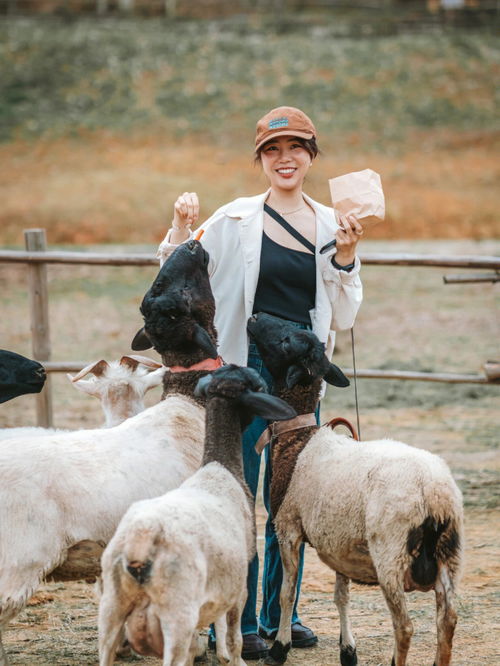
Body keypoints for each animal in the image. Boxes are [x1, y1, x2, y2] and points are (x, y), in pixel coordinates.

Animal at [95, 364, 294, 664]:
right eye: (257, 385)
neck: (219, 465)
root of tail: (141, 541)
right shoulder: (239, 587)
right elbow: (234, 638)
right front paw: (234, 657)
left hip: (112, 609)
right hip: (177, 612)